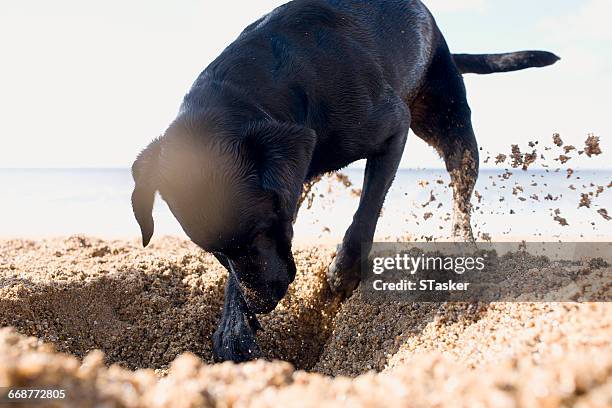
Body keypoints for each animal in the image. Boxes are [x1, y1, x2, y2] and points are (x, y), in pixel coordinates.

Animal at [131, 0, 556, 364]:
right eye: (212, 251)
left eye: (262, 229)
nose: (263, 304)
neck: (268, 87)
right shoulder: (293, 180)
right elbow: (236, 278)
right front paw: (235, 327)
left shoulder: (392, 130)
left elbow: (364, 217)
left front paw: (342, 276)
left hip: (449, 119)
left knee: (461, 186)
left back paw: (461, 243)